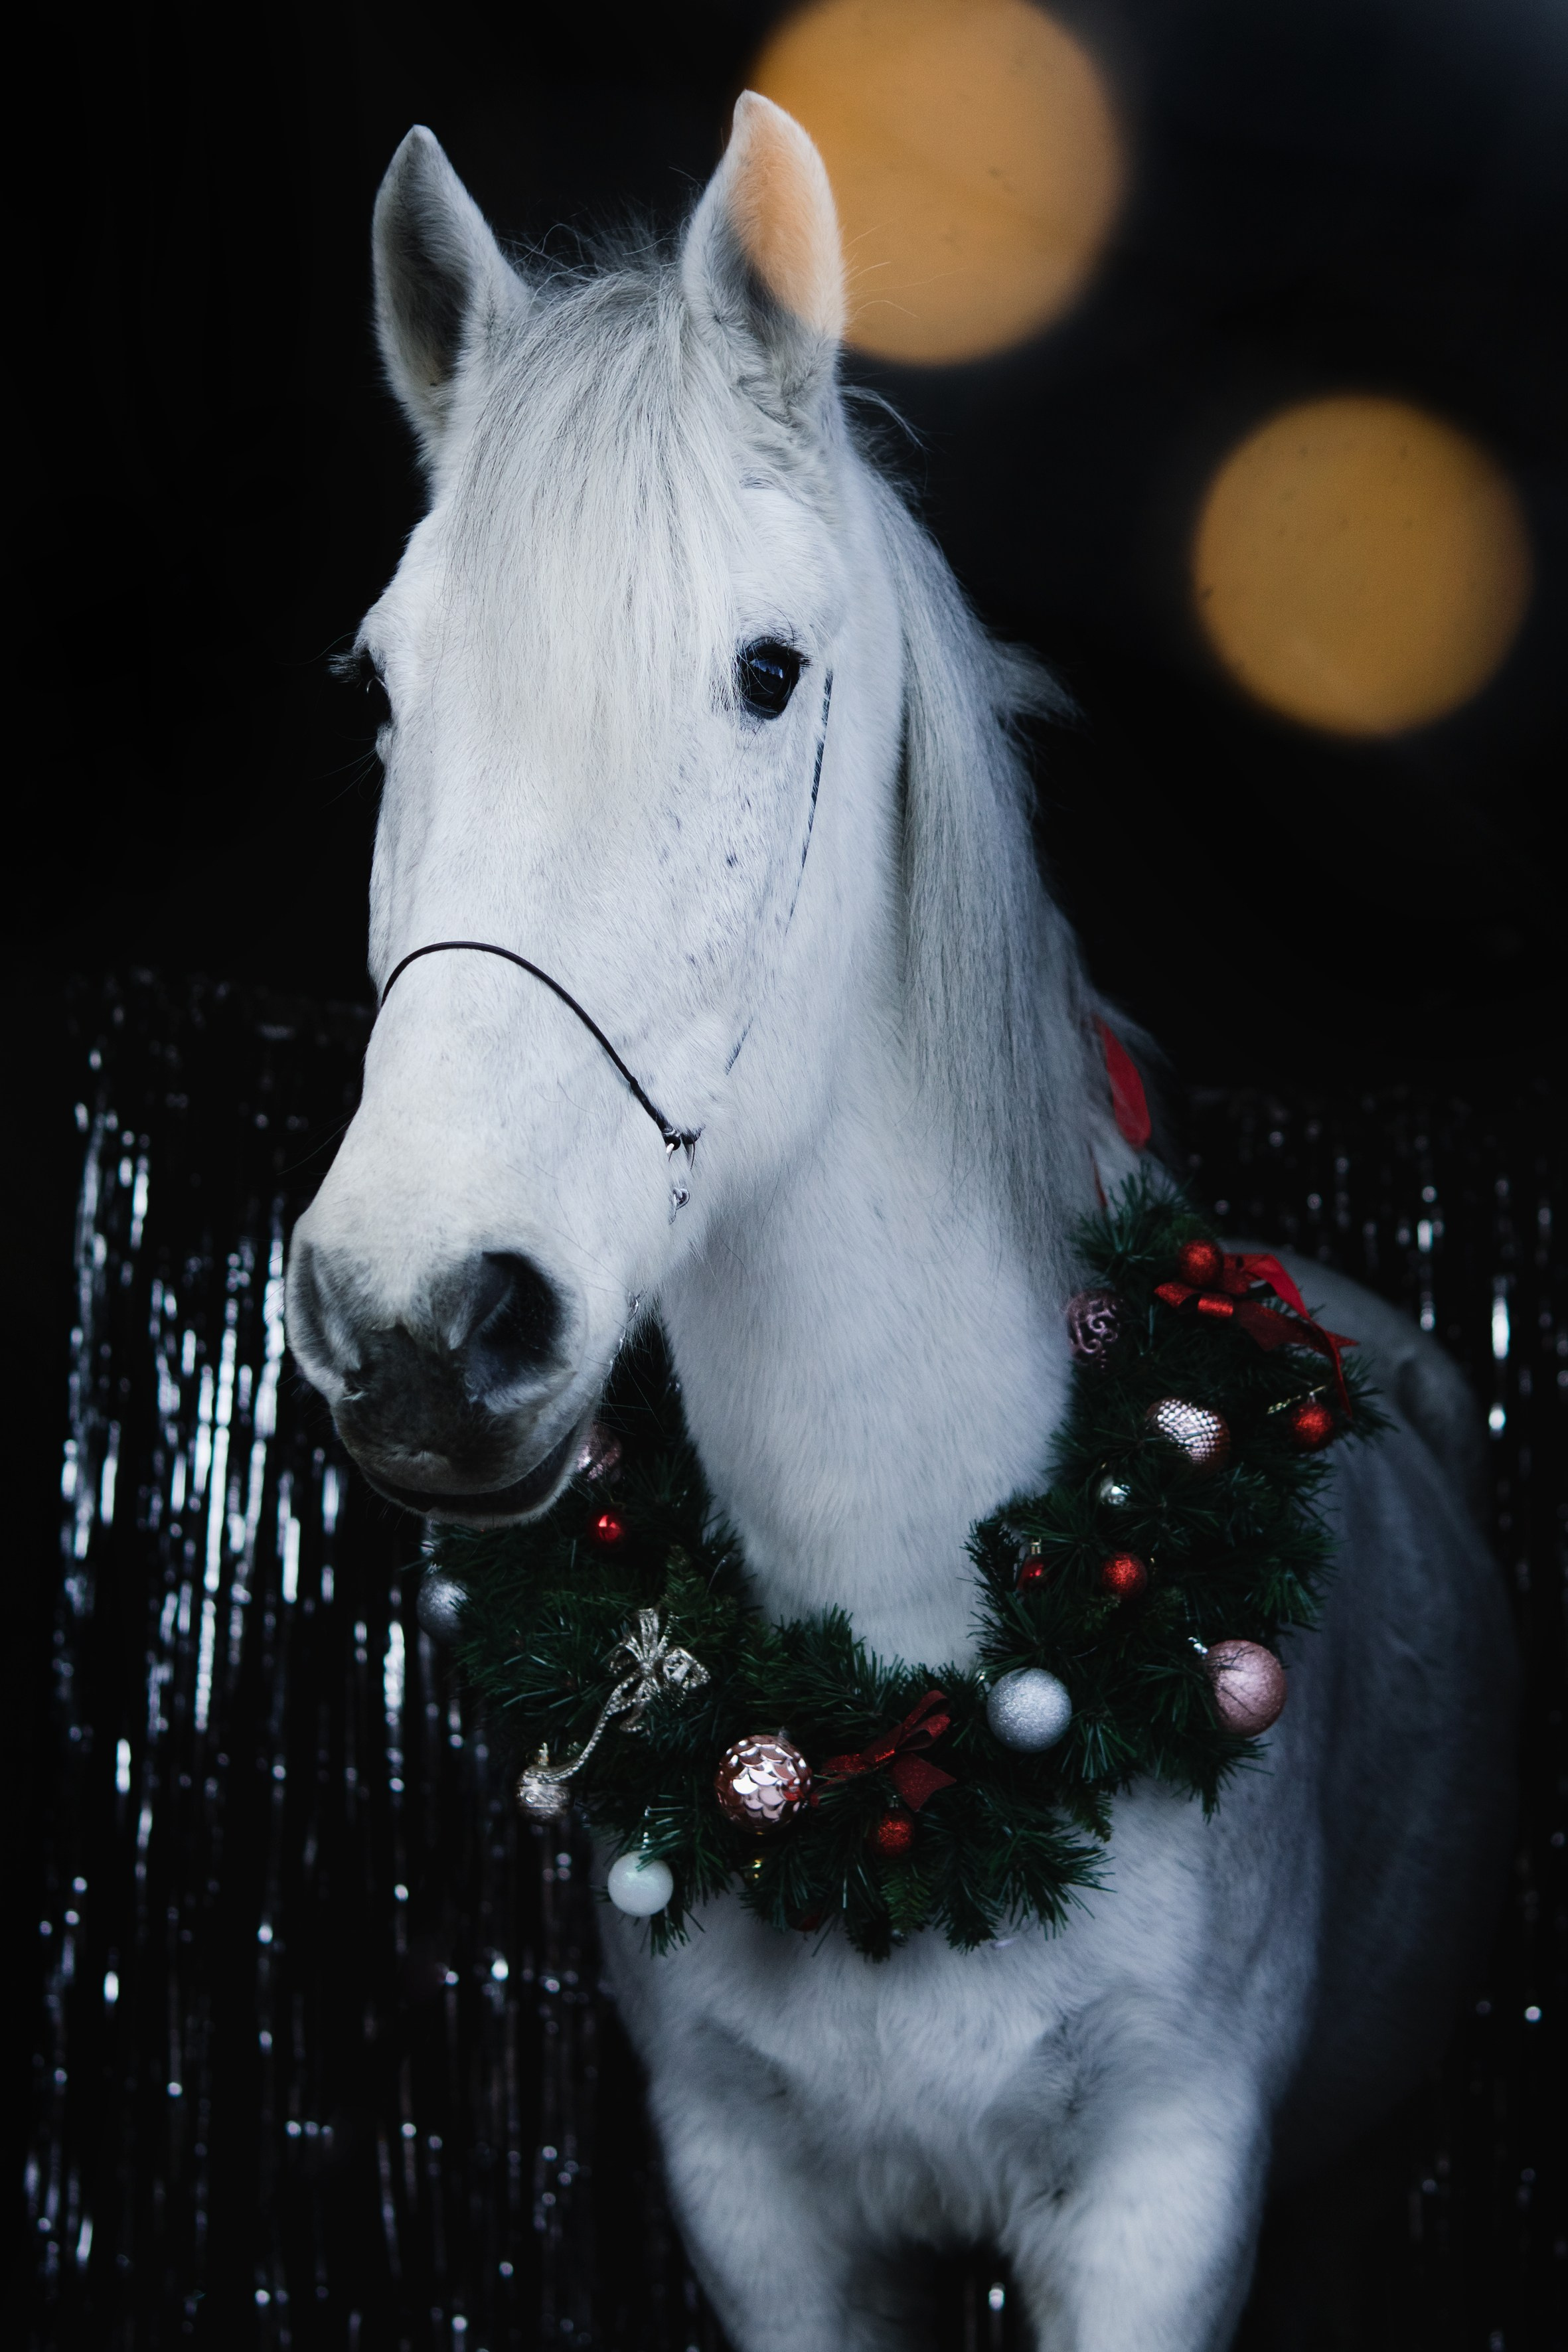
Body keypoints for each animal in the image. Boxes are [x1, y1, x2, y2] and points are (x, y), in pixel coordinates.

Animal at [287, 95, 1516, 2350]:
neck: (915, 1733)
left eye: (771, 675)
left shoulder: (1165, 2191)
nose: (421, 1317)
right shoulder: (759, 2199)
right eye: (384, 685)